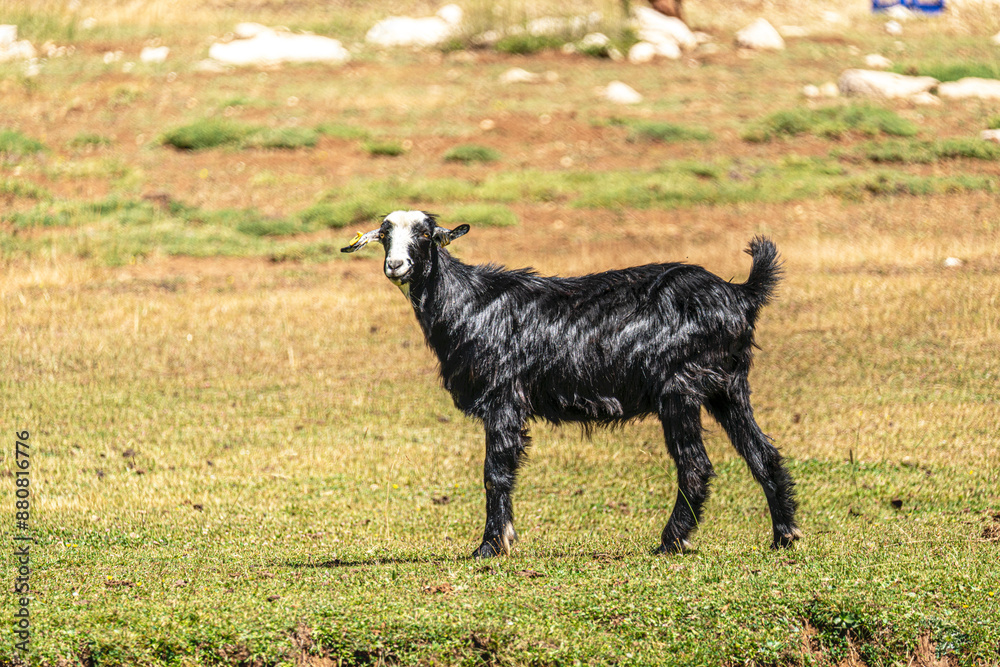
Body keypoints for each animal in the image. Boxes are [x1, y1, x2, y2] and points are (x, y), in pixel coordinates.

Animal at [343, 211, 800, 558]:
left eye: (425, 234)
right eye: (385, 235)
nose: (396, 266)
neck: (469, 304)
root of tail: (740, 294)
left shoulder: (503, 395)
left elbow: (496, 472)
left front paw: (490, 547)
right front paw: (503, 540)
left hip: (681, 387)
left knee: (695, 465)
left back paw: (672, 541)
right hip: (728, 386)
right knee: (763, 453)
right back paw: (785, 535)